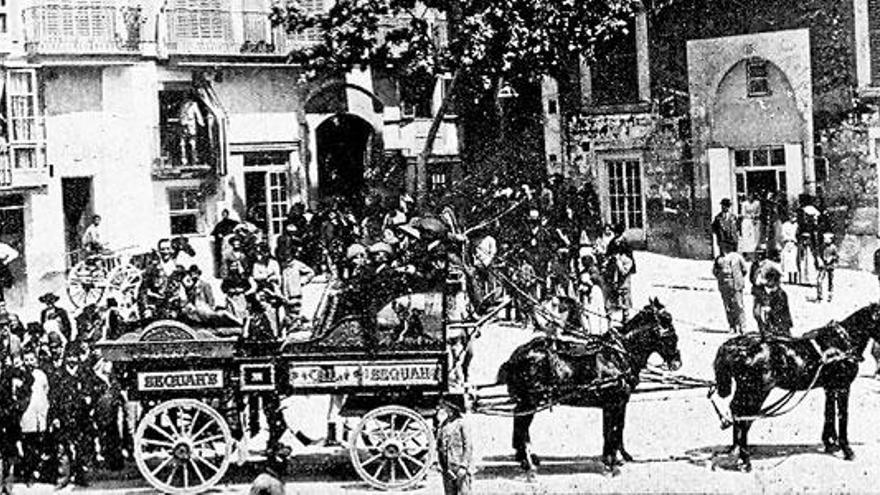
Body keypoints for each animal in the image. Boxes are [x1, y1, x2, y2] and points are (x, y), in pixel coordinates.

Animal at [496, 298, 680, 472]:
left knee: (519, 422)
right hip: (530, 400)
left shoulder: (620, 402)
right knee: (521, 424)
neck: (617, 355)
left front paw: (619, 456)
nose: (677, 362)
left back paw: (526, 458)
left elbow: (618, 428)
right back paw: (527, 461)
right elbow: (610, 431)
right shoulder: (612, 402)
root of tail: (516, 356)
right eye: (667, 322)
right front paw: (610, 461)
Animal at [712, 304, 880, 470]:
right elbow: (842, 416)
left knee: (736, 411)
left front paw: (830, 443)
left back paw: (735, 449)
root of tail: (734, 347)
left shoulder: (830, 388)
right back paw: (745, 459)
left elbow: (829, 414)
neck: (841, 343)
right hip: (757, 392)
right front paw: (847, 449)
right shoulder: (843, 386)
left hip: (745, 390)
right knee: (744, 417)